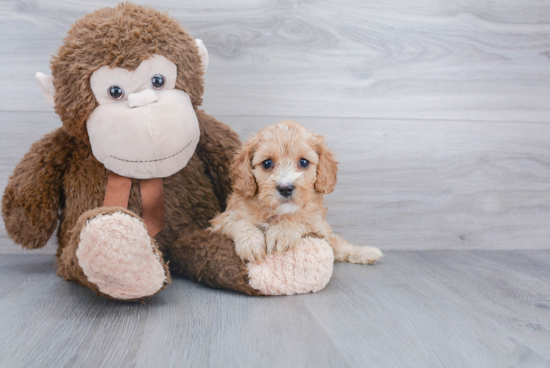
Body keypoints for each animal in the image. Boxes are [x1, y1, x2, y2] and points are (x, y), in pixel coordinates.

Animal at [211, 121, 384, 264]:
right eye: (267, 163)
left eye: (304, 162)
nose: (285, 188)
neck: (278, 213)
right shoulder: (221, 220)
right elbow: (240, 223)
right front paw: (251, 243)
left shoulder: (318, 226)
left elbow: (300, 219)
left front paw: (282, 232)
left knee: (339, 245)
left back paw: (367, 252)